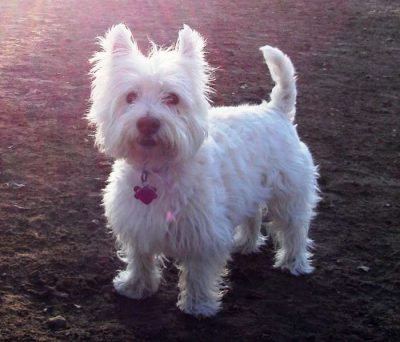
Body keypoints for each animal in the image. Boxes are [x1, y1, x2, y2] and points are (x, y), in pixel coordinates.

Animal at [86, 24, 318, 316]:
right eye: (130, 96)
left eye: (172, 98)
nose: (148, 123)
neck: (157, 168)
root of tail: (275, 110)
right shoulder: (138, 221)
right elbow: (140, 258)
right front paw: (135, 287)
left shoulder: (203, 234)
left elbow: (198, 272)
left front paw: (197, 306)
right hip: (250, 189)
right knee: (254, 215)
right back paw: (245, 244)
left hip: (289, 193)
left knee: (294, 228)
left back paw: (293, 263)